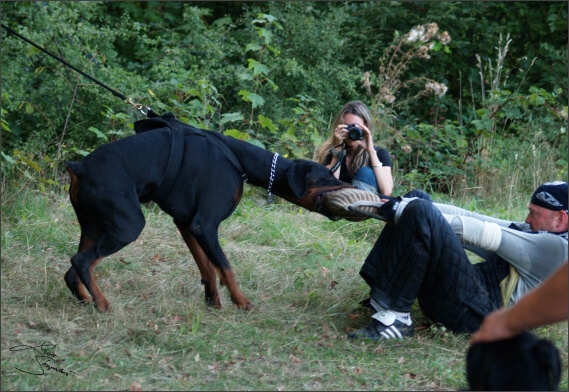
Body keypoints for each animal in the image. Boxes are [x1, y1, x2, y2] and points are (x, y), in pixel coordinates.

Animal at [65, 112, 356, 312]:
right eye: (327, 176)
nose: (354, 186)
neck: (240, 160)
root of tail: (79, 167)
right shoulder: (204, 225)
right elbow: (225, 265)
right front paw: (240, 301)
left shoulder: (186, 223)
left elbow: (207, 266)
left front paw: (213, 301)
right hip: (127, 226)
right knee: (81, 262)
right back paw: (102, 304)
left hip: (94, 227)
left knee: (73, 270)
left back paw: (85, 300)